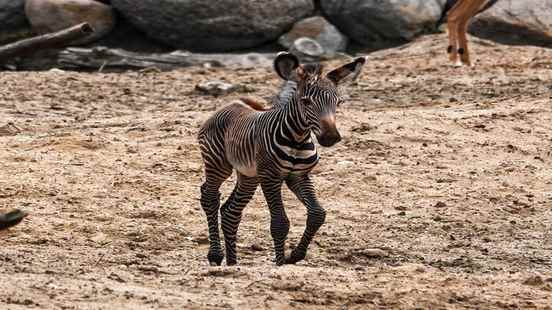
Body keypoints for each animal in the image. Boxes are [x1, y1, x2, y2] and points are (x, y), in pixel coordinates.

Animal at [196, 52, 364, 266]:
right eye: (306, 102)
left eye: (338, 103)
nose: (331, 137)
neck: (298, 139)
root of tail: (230, 103)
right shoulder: (270, 177)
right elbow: (280, 223)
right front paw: (280, 263)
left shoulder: (299, 176)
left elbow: (317, 214)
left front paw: (295, 255)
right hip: (218, 163)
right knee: (209, 196)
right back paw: (216, 255)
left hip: (249, 175)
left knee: (230, 212)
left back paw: (233, 264)